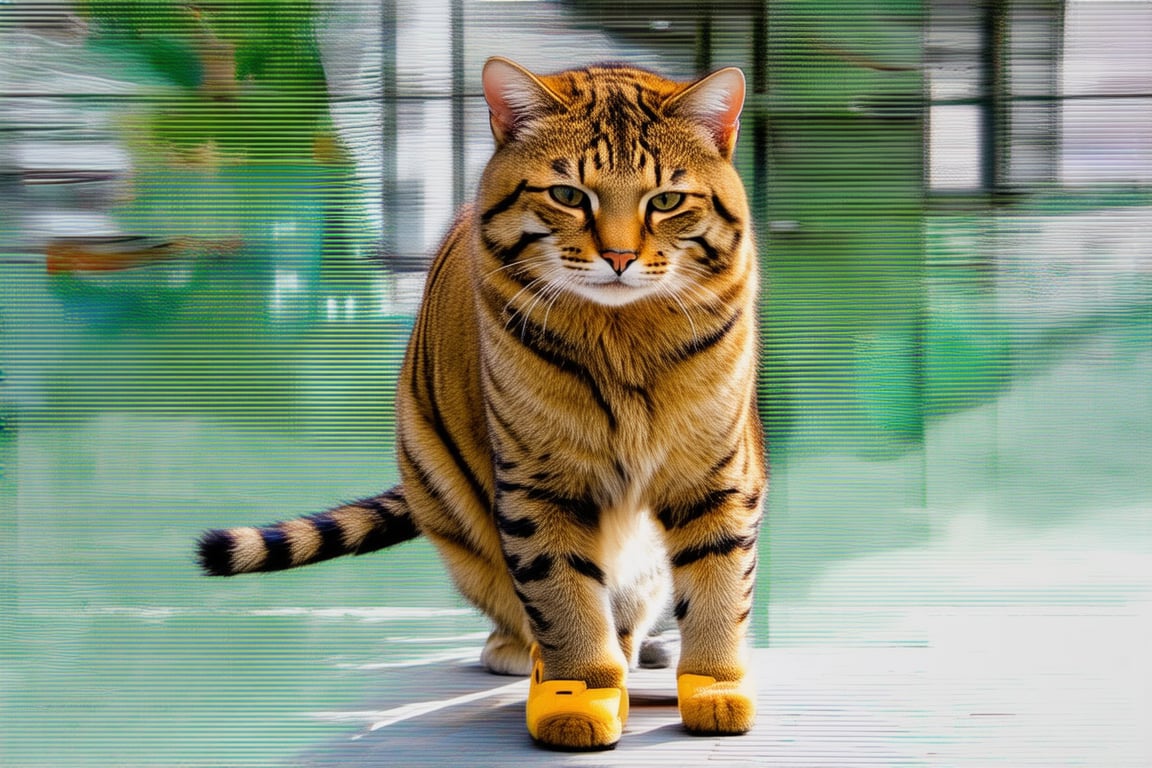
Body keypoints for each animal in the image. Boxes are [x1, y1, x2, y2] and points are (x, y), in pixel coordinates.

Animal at [200, 55, 764, 750]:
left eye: (665, 201)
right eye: (569, 195)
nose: (619, 257)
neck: (624, 333)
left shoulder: (717, 470)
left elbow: (718, 585)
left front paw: (716, 688)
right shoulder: (539, 484)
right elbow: (563, 596)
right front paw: (577, 696)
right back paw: (525, 651)